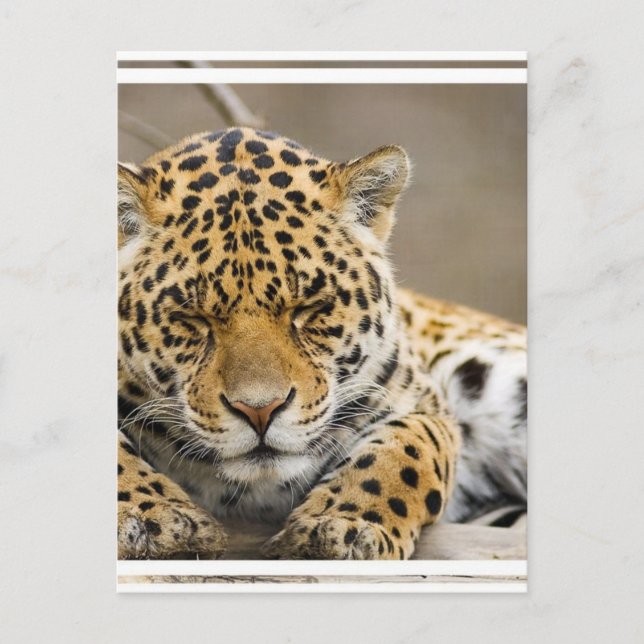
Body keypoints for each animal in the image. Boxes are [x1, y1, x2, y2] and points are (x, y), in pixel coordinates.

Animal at [117, 126, 527, 560]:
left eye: (309, 307)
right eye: (192, 317)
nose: (260, 412)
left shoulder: (421, 404)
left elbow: (401, 453)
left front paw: (342, 528)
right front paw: (157, 522)